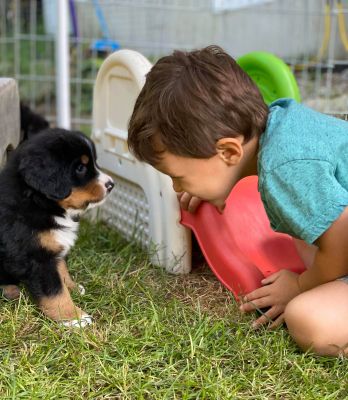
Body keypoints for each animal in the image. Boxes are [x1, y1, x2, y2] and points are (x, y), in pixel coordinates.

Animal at [0, 130, 113, 326]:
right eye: (80, 168)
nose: (111, 184)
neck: (38, 201)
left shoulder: (54, 248)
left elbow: (62, 271)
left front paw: (73, 288)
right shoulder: (38, 259)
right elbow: (55, 292)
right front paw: (74, 317)